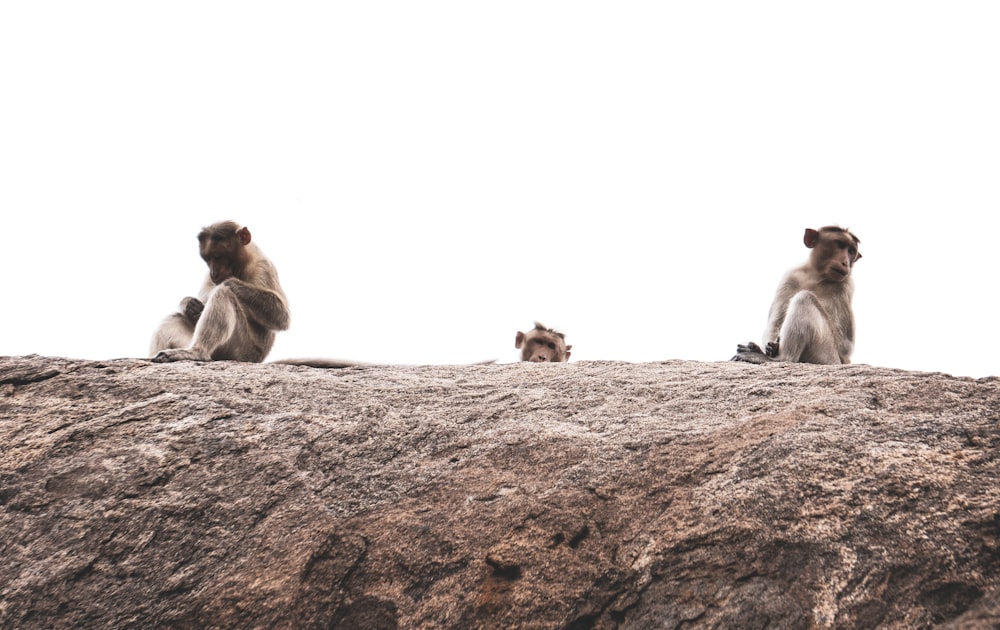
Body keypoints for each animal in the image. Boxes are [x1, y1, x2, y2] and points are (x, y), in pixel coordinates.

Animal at [148, 222, 290, 366]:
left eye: (217, 256)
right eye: (207, 259)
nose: (213, 273)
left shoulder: (263, 266)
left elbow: (281, 317)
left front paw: (229, 282)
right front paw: (189, 304)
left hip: (240, 350)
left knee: (223, 294)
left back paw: (197, 352)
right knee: (175, 317)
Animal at [732, 226, 864, 366]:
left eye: (851, 251)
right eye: (840, 244)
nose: (845, 263)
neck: (817, 276)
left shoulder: (846, 285)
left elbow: (845, 346)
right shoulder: (790, 276)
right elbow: (775, 323)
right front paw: (770, 347)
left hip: (827, 356)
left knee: (804, 298)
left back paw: (780, 358)